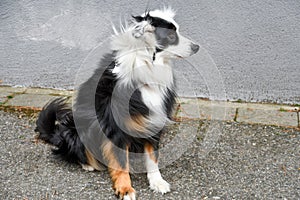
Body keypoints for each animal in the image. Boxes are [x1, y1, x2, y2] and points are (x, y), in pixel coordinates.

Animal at [35, 7, 199, 199]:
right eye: (172, 36)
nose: (197, 47)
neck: (147, 67)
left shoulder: (153, 119)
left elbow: (153, 157)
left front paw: (157, 182)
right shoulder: (115, 128)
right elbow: (121, 163)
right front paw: (125, 189)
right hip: (78, 127)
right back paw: (88, 163)